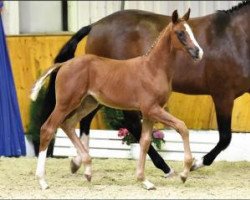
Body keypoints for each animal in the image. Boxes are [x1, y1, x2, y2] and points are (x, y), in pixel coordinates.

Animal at [31, 9, 203, 191]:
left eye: (191, 31)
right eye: (180, 33)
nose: (198, 52)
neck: (153, 68)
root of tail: (64, 64)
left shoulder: (149, 113)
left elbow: (145, 141)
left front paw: (144, 180)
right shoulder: (152, 109)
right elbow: (182, 127)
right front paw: (184, 173)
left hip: (88, 103)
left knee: (68, 124)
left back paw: (87, 169)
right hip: (65, 103)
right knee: (48, 128)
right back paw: (43, 181)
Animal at [43, 0, 250, 174]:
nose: (198, 53)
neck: (235, 37)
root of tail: (95, 25)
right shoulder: (223, 94)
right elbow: (225, 137)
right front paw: (196, 163)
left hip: (98, 93)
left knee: (86, 120)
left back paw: (78, 161)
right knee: (131, 124)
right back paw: (164, 168)